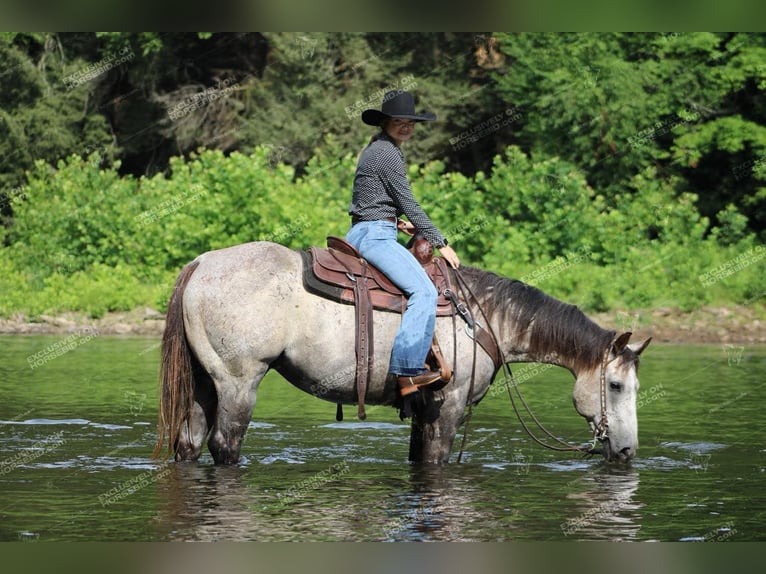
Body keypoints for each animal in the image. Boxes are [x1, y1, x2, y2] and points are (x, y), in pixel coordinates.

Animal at [154, 241, 656, 466]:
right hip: (239, 383)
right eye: (615, 385)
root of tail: (201, 263)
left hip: (204, 384)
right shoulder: (448, 407)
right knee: (225, 445)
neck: (484, 318)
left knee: (189, 444)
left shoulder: (423, 408)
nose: (627, 450)